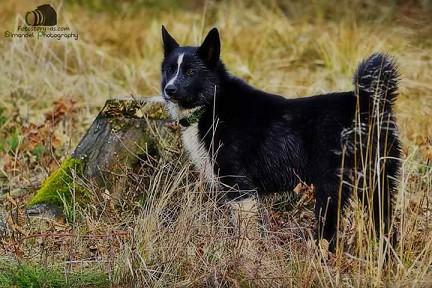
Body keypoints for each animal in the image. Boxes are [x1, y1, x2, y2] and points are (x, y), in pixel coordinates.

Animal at [161, 25, 402, 249]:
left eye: (190, 72)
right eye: (169, 70)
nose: (168, 90)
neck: (213, 102)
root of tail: (368, 103)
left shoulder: (239, 188)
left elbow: (244, 233)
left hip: (331, 189)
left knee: (329, 233)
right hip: (377, 183)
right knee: (386, 226)